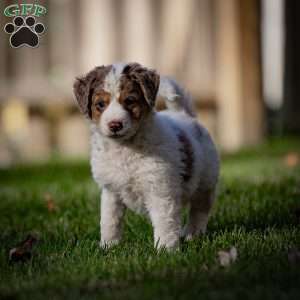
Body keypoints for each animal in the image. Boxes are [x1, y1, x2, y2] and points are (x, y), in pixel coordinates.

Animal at [72, 62, 218, 250]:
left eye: (129, 101)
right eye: (100, 104)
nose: (115, 125)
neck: (125, 148)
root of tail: (184, 115)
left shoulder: (159, 189)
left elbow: (164, 221)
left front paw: (165, 249)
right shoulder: (111, 191)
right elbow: (110, 220)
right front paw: (108, 246)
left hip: (206, 183)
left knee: (199, 210)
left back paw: (192, 234)